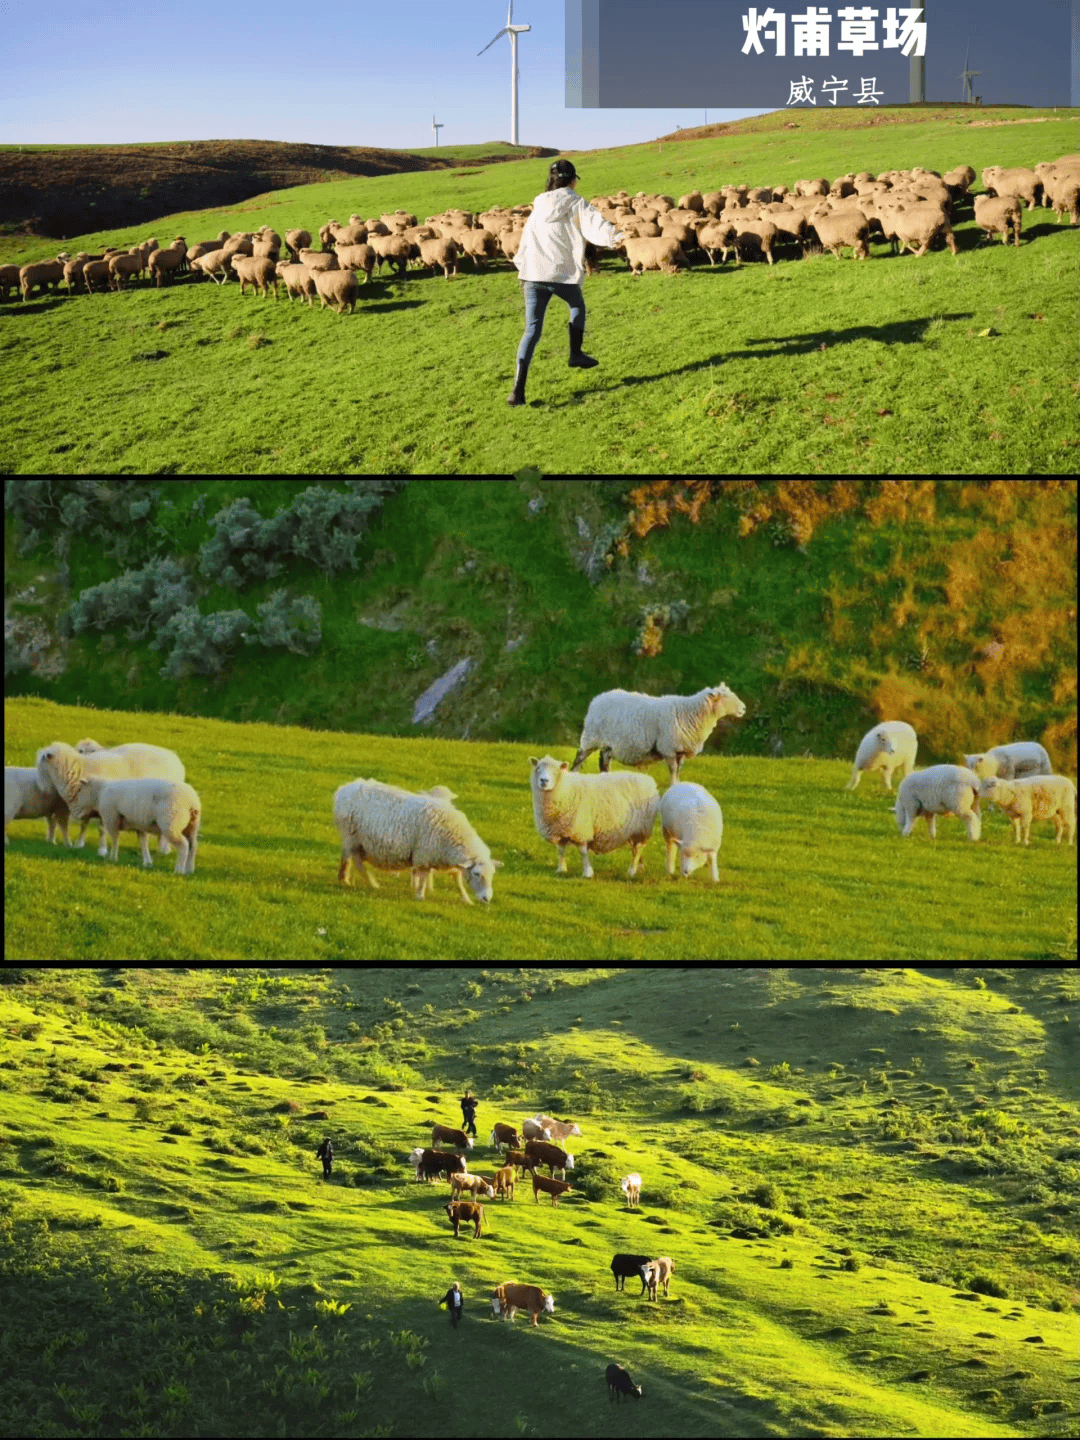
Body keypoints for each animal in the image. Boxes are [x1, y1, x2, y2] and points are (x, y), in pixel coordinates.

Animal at [38, 743, 185, 852]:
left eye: (41, 762)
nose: (40, 787)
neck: (81, 769)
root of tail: (175, 759)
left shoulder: (105, 806)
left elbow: (101, 829)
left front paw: (102, 850)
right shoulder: (85, 805)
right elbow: (84, 825)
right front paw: (79, 844)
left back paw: (164, 849)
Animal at [64, 777, 201, 864]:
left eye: (79, 790)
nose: (73, 809)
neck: (101, 792)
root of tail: (193, 800)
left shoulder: (111, 819)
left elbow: (115, 840)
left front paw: (112, 858)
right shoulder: (139, 825)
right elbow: (143, 843)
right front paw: (147, 862)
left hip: (171, 824)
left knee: (184, 846)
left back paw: (179, 870)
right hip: (192, 826)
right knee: (192, 846)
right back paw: (189, 870)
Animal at [334, 777, 504, 898]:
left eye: (492, 874)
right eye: (477, 874)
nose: (487, 898)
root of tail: (344, 789)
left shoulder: (444, 859)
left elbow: (456, 878)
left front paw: (465, 899)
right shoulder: (424, 856)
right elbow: (423, 877)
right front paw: (420, 895)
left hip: (353, 840)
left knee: (348, 857)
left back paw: (345, 878)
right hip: (353, 837)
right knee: (356, 861)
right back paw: (370, 883)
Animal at [529, 754, 659, 875]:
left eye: (556, 771)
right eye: (538, 768)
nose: (543, 781)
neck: (565, 789)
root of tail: (648, 779)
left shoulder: (581, 829)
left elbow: (582, 852)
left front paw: (587, 872)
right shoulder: (560, 830)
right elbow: (560, 851)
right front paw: (561, 869)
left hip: (641, 828)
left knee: (637, 850)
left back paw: (632, 871)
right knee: (637, 850)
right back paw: (639, 867)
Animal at [570, 679, 748, 783]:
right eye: (726, 697)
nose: (744, 709)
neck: (691, 713)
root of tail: (597, 698)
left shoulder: (680, 751)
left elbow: (678, 771)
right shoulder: (669, 749)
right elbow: (673, 771)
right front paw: (673, 787)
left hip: (608, 744)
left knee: (604, 762)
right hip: (591, 738)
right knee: (579, 758)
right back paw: (573, 776)